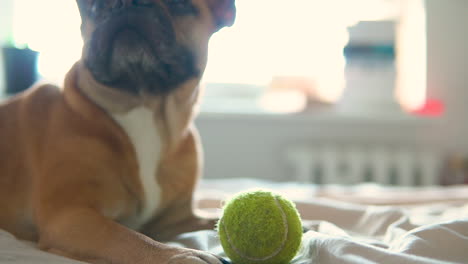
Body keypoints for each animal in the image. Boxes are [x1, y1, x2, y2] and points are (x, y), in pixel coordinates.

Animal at [0, 1, 234, 262]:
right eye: (94, 7)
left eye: (180, 5)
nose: (129, 5)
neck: (143, 104)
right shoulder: (69, 216)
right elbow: (131, 237)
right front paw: (181, 254)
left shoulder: (175, 219)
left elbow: (215, 218)